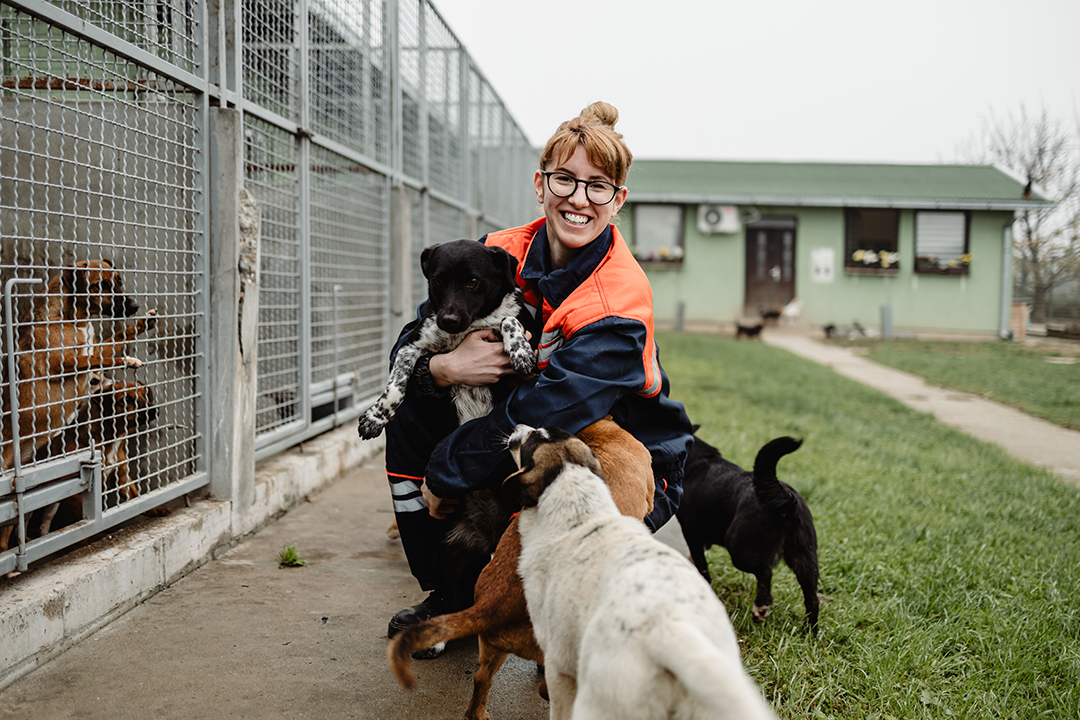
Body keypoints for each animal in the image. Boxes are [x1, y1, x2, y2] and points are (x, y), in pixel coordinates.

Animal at [356, 239, 537, 440]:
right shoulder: (410, 345)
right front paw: (375, 418)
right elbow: (396, 386)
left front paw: (520, 352)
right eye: (438, 280)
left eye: (472, 281)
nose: (448, 321)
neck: (471, 325)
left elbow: (508, 319)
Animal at [673, 431, 816, 634]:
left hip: (740, 550)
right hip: (805, 559)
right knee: (812, 597)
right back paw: (810, 631)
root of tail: (786, 499)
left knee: (765, 573)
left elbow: (701, 564)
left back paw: (760, 608)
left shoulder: (691, 532)